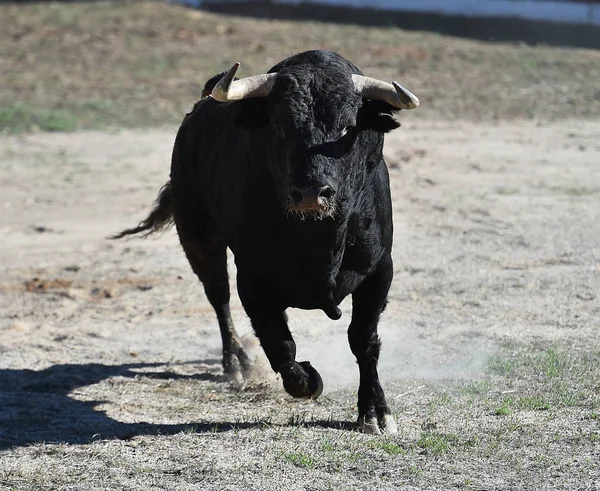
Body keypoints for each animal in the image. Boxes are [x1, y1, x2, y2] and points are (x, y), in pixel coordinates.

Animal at [115, 50, 420, 434]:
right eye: (279, 127)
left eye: (348, 127)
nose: (311, 193)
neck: (319, 241)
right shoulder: (253, 279)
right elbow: (280, 344)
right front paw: (309, 380)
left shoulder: (379, 269)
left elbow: (363, 340)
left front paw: (375, 411)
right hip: (199, 237)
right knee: (219, 297)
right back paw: (237, 363)